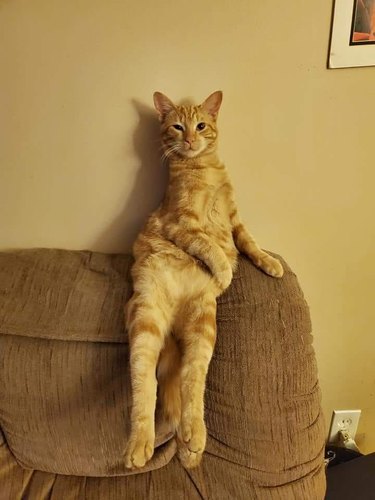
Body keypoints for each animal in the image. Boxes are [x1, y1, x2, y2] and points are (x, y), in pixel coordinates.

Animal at [125, 90, 284, 468]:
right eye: (177, 127)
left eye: (200, 125)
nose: (189, 140)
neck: (204, 169)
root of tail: (171, 322)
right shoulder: (181, 225)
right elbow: (210, 247)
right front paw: (225, 273)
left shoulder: (235, 217)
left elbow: (249, 242)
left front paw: (270, 263)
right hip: (146, 321)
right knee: (145, 384)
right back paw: (141, 444)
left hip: (203, 327)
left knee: (191, 382)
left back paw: (192, 443)